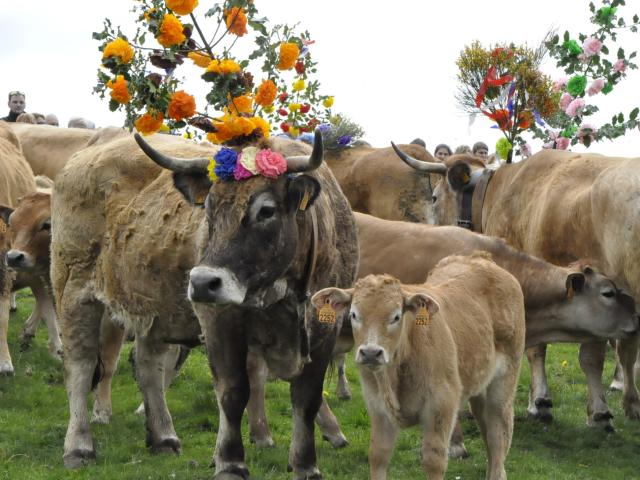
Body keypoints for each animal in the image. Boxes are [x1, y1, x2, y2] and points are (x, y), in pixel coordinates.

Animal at [52, 130, 359, 479]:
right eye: (209, 208)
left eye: (266, 211)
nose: (201, 282)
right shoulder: (220, 322)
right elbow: (233, 392)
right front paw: (230, 462)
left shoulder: (324, 329)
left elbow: (306, 399)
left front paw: (306, 465)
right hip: (73, 289)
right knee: (81, 364)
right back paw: (78, 446)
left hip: (153, 305)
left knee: (147, 364)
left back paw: (163, 437)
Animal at [312, 253, 525, 480]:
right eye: (353, 314)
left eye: (396, 316)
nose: (370, 352)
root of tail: (481, 258)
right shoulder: (377, 407)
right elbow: (378, 455)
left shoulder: (441, 405)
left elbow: (434, 460)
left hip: (503, 384)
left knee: (498, 435)